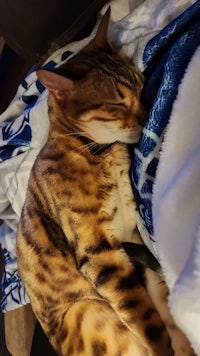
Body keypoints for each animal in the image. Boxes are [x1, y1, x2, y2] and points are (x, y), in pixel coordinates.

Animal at [16, 6, 193, 356]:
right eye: (116, 103)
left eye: (141, 86)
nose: (147, 116)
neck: (99, 152)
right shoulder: (99, 251)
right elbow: (146, 319)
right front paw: (164, 341)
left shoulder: (133, 236)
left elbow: (157, 294)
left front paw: (176, 331)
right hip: (88, 313)